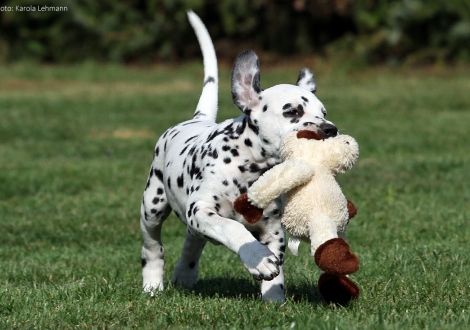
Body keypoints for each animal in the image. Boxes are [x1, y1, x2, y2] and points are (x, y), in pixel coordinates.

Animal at [140, 11, 338, 302]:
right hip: (152, 206)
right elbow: (233, 229)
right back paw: (153, 285)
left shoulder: (273, 228)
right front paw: (258, 259)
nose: (330, 129)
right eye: (292, 112)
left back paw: (185, 274)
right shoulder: (202, 210)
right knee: (153, 247)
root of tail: (198, 119)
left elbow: (277, 267)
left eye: (323, 113)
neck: (249, 169)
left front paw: (273, 298)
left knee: (192, 241)